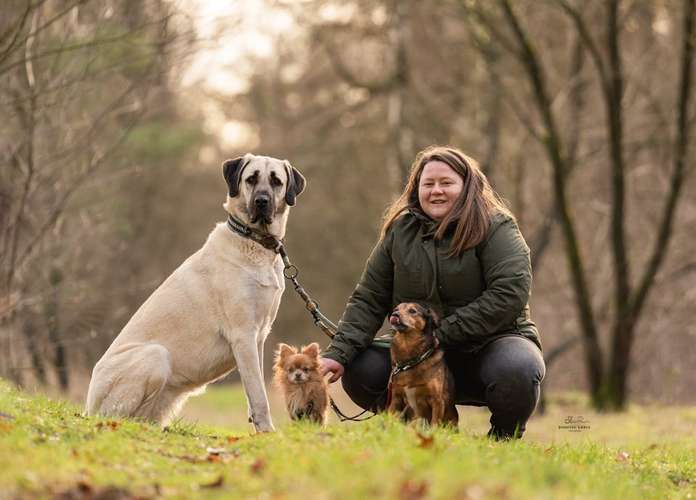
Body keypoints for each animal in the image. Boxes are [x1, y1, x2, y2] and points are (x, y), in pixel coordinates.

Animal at [84, 154, 304, 432]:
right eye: (251, 179)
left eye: (276, 181)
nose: (261, 202)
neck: (254, 242)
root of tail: (88, 406)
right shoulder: (244, 335)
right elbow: (258, 395)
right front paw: (267, 432)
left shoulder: (259, 337)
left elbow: (252, 391)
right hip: (156, 355)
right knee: (119, 416)